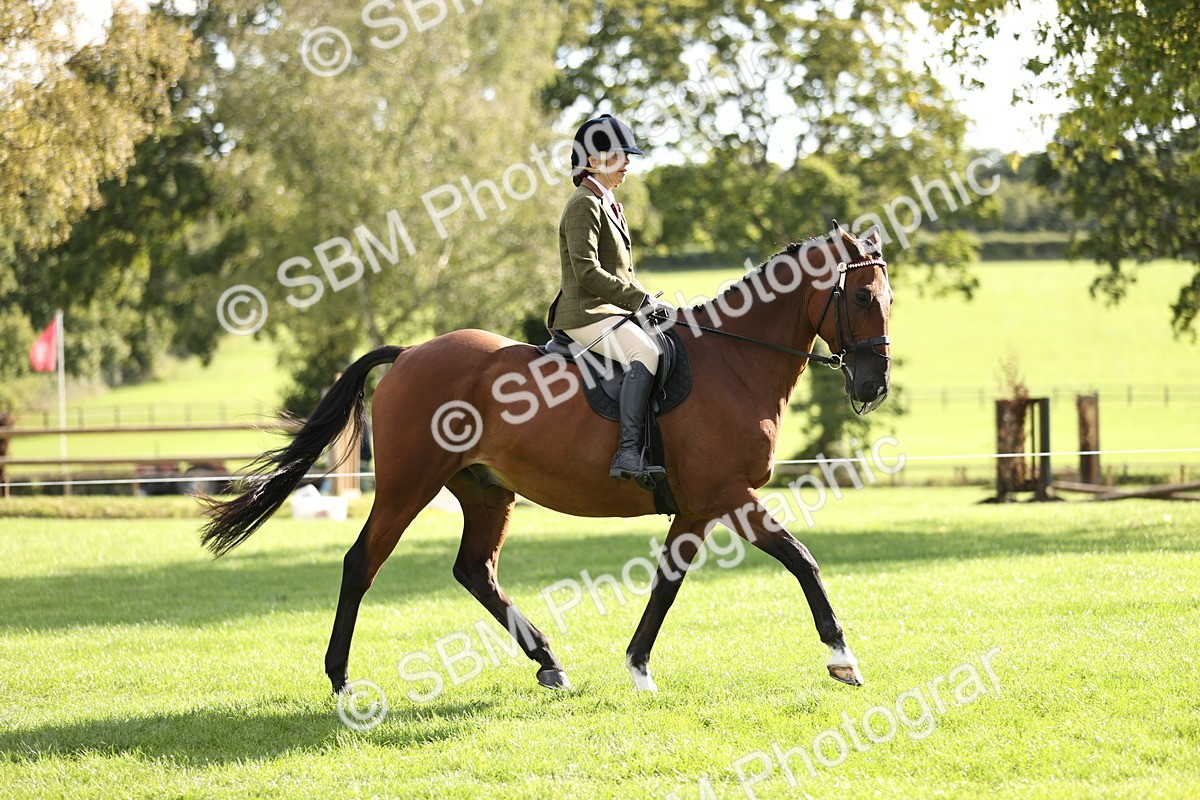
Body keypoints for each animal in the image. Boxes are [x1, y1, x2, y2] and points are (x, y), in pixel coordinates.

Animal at [199, 220, 892, 696]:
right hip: (406, 487)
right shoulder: (727, 494)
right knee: (360, 563)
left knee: (475, 571)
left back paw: (549, 663)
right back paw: (342, 680)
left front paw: (638, 667)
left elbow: (666, 584)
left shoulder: (697, 506)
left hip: (485, 490)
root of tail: (411, 352)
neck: (735, 360)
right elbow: (802, 560)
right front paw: (843, 658)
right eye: (861, 299)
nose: (873, 385)